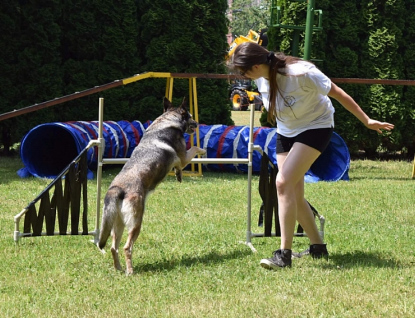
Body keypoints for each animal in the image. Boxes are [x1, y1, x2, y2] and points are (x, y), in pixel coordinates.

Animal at [98, 96, 208, 274]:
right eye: (190, 116)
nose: (197, 123)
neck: (168, 120)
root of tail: (117, 189)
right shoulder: (184, 157)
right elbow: (194, 147)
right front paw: (203, 150)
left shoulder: (180, 161)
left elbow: (179, 167)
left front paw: (179, 175)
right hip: (136, 223)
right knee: (127, 247)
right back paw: (130, 271)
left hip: (118, 224)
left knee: (114, 248)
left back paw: (119, 269)